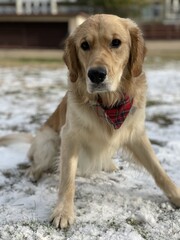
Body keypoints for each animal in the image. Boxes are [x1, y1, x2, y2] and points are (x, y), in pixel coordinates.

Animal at [0, 13, 180, 229]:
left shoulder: (136, 133)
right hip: (49, 141)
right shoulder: (69, 136)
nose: (96, 74)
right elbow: (67, 179)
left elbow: (158, 170)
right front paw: (63, 211)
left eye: (116, 42)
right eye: (84, 45)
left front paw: (176, 195)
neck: (109, 105)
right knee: (37, 163)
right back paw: (33, 173)